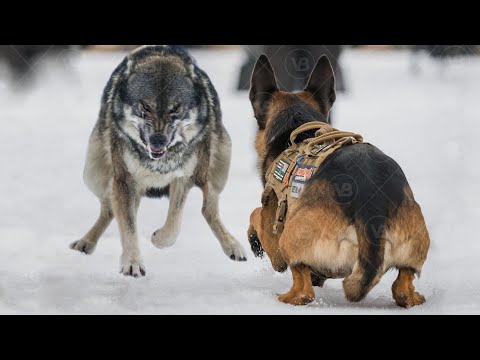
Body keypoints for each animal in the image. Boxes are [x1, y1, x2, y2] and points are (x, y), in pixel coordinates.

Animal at [72, 45, 248, 276]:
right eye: (145, 107)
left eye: (175, 109)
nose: (158, 140)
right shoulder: (124, 181)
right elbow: (128, 227)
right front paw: (132, 264)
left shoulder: (182, 178)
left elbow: (174, 225)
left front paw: (158, 239)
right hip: (94, 175)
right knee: (109, 210)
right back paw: (85, 242)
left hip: (215, 173)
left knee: (209, 210)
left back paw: (233, 246)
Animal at [246, 55, 430, 306]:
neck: (299, 125)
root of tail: (371, 209)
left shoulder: (274, 233)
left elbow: (255, 214)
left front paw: (254, 241)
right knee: (402, 287)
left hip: (289, 239)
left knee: (303, 287)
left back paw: (288, 296)